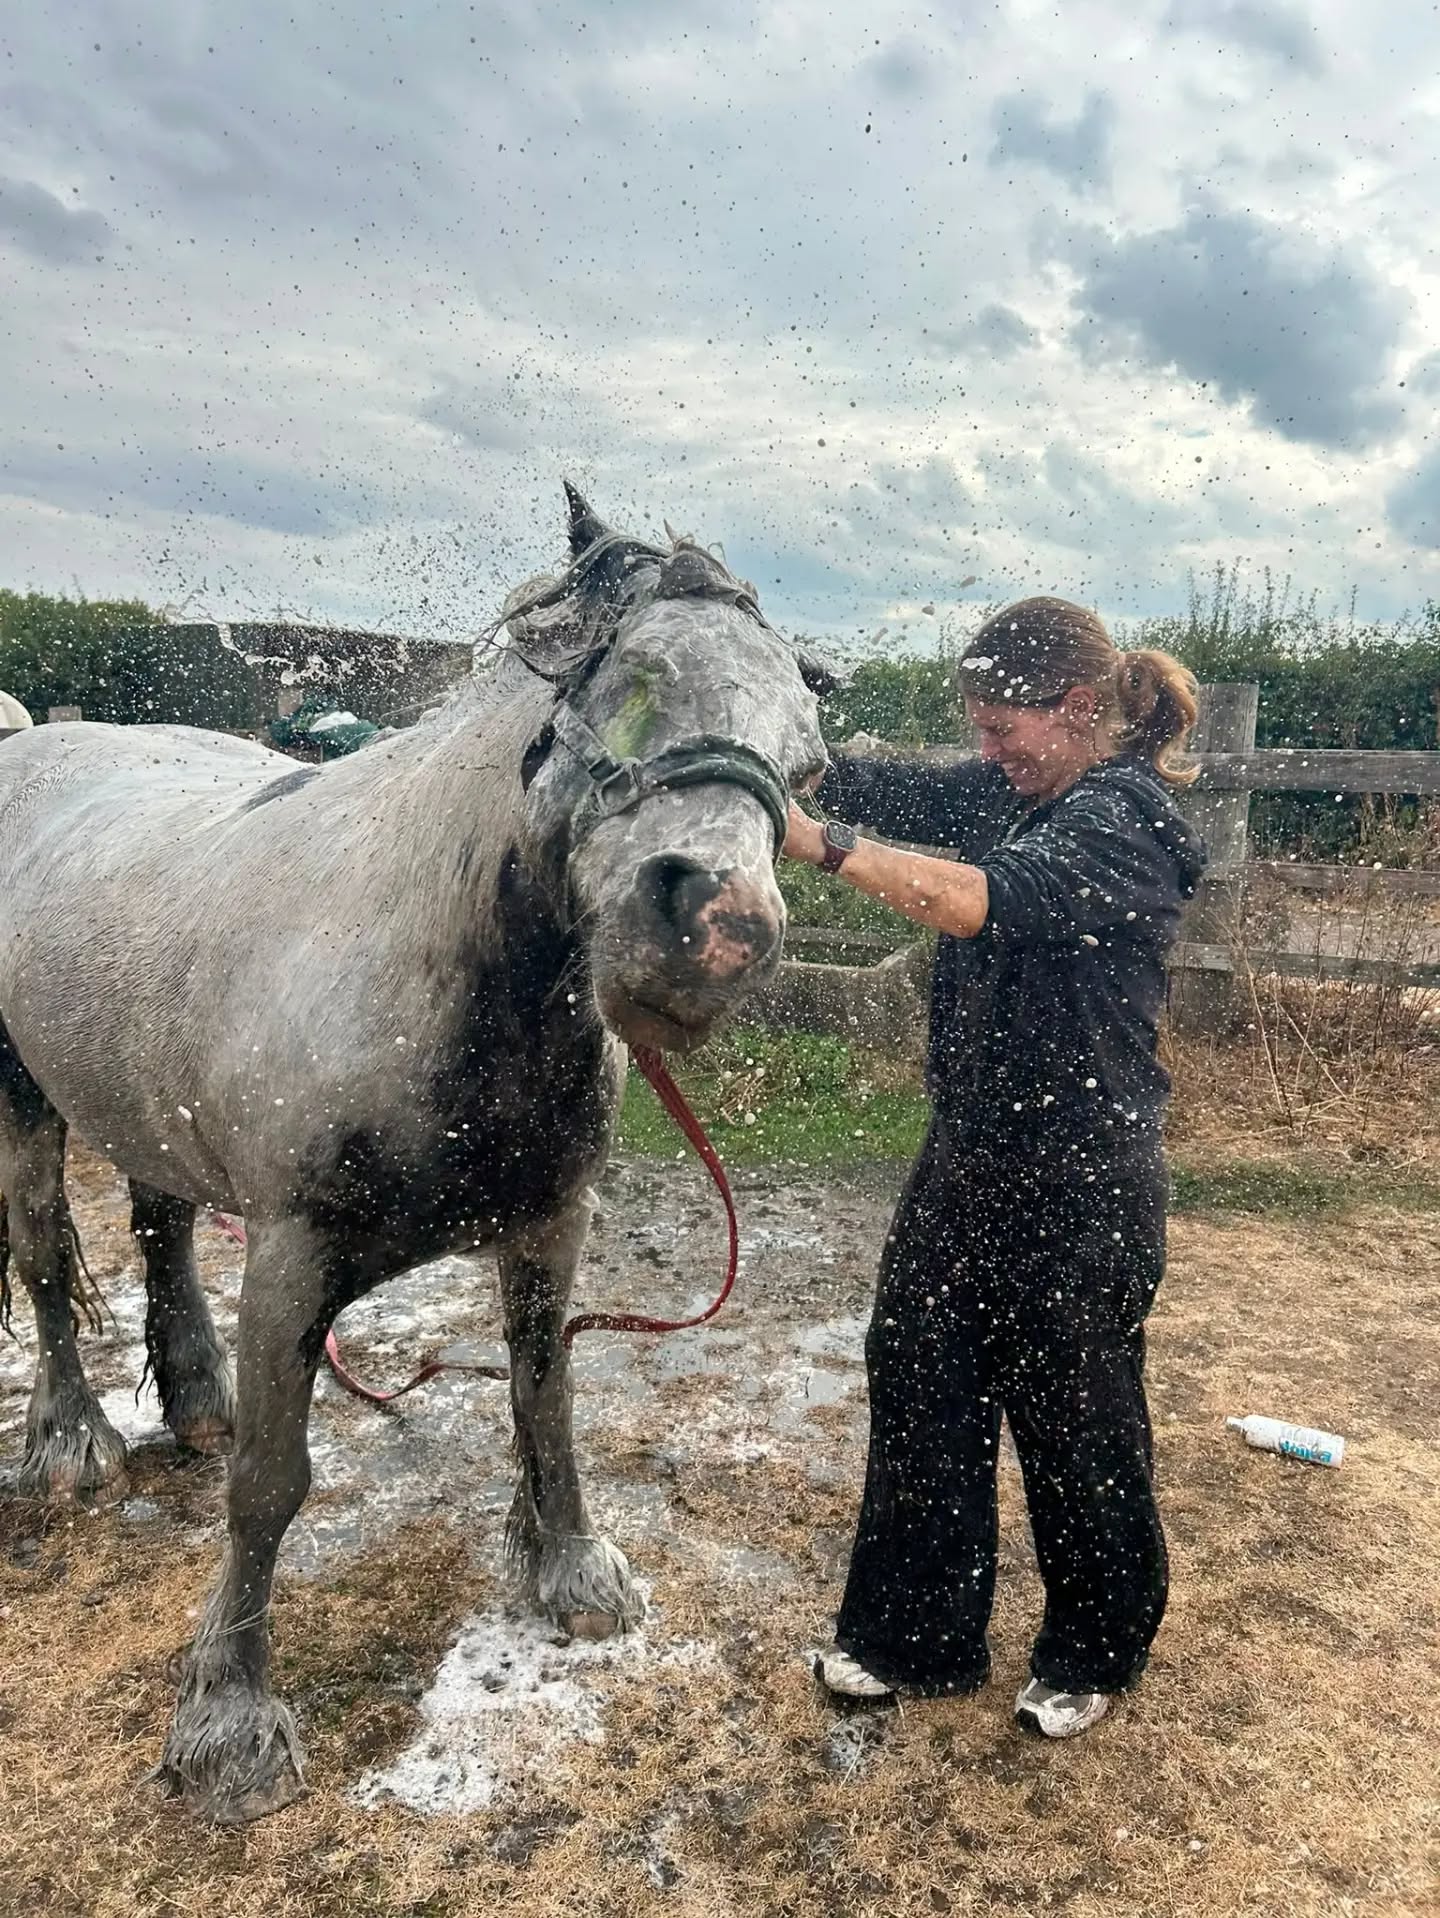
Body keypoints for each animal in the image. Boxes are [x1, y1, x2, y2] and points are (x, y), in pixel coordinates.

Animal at [0, 485, 830, 1824]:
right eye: (635, 677)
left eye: (808, 767)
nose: (718, 929)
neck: (429, 974)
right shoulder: (291, 1258)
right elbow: (272, 1485)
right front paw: (229, 1719)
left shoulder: (549, 1228)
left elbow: (546, 1399)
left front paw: (572, 1569)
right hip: (26, 1097)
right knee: (39, 1255)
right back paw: (69, 1443)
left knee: (160, 1231)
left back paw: (194, 1398)